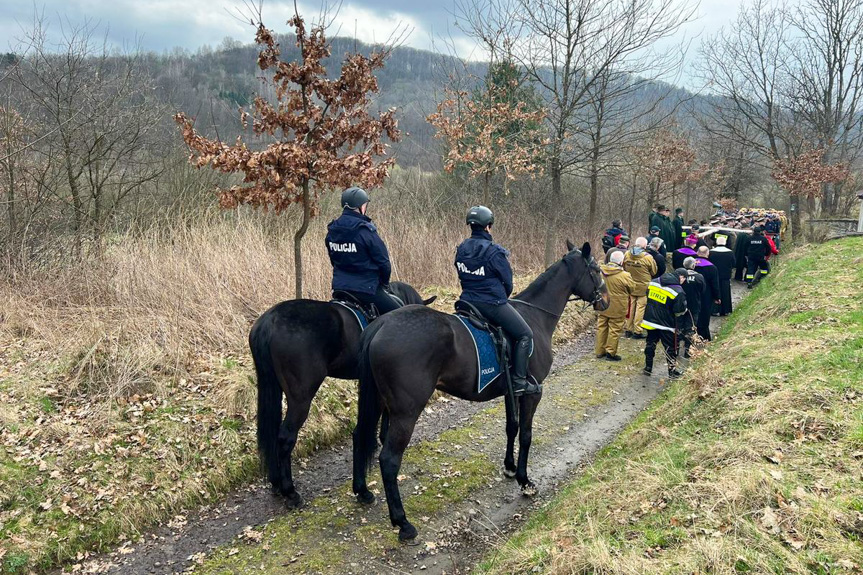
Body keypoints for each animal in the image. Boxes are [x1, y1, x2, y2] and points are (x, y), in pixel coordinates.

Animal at [352, 241, 608, 544]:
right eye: (596, 269)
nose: (605, 300)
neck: (535, 316)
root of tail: (381, 324)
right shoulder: (532, 393)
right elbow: (527, 435)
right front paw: (525, 480)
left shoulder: (512, 391)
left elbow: (512, 428)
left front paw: (510, 467)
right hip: (405, 413)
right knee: (389, 461)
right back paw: (402, 523)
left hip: (379, 403)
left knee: (359, 436)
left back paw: (362, 491)